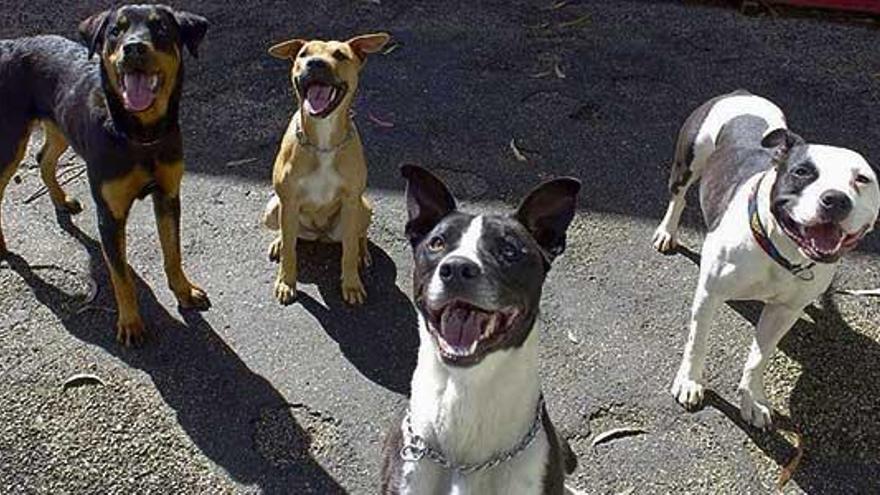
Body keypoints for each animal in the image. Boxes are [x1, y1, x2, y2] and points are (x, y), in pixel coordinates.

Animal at [0, 4, 210, 344]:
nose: (134, 47)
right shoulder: (110, 215)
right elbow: (120, 275)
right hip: (10, 142)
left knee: (43, 157)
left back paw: (61, 200)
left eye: (161, 28)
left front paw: (184, 291)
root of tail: (8, 45)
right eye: (115, 31)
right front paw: (130, 323)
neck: (140, 135)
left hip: (60, 126)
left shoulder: (168, 197)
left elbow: (172, 251)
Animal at [648, 90, 880, 430]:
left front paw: (753, 399)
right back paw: (666, 231)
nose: (836, 199)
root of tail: (740, 93)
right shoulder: (708, 295)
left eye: (862, 179)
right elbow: (696, 341)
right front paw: (689, 382)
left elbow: (759, 357)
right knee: (678, 196)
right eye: (802, 171)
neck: (782, 249)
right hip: (688, 160)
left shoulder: (784, 312)